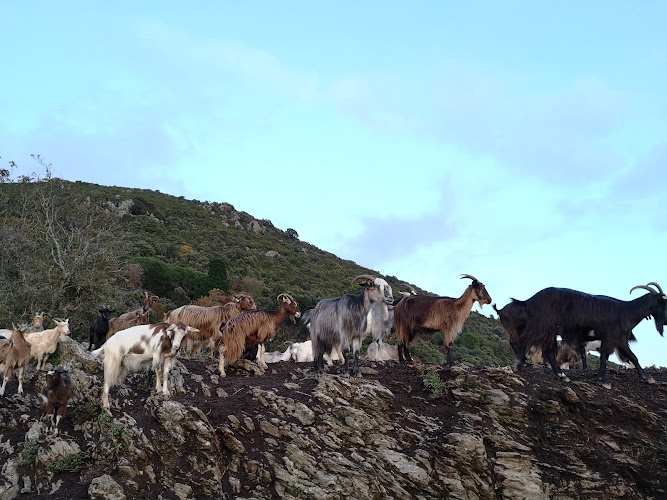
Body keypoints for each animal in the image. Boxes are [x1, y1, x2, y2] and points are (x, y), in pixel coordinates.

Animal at [500, 282, 667, 388]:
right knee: (527, 341)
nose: (665, 321)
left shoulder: (618, 340)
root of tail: (528, 301)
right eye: (662, 302)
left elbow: (629, 357)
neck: (628, 311)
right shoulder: (614, 338)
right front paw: (604, 381)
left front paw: (646, 378)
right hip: (543, 326)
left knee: (543, 350)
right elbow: (612, 357)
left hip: (548, 330)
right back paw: (522, 364)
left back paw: (559, 375)